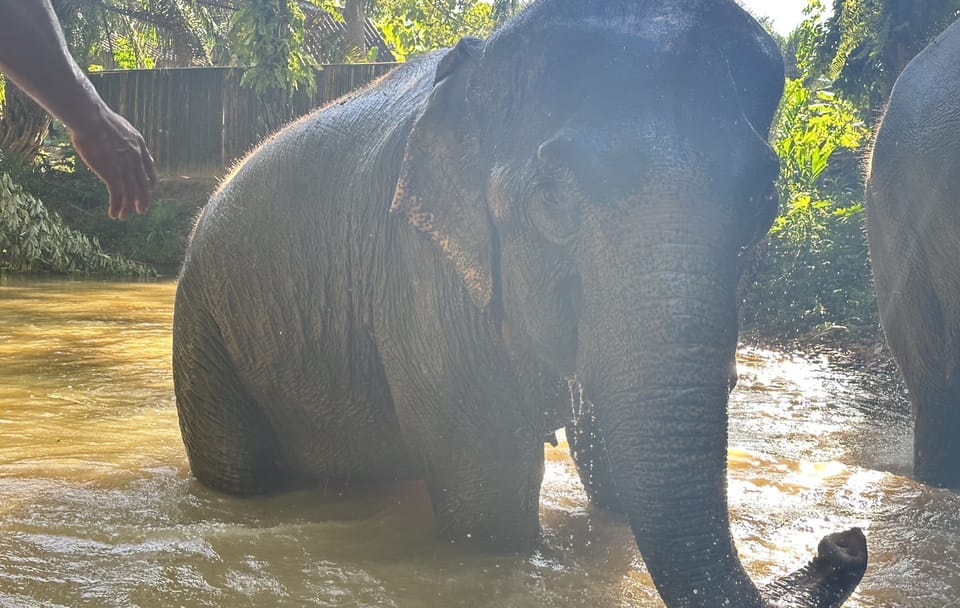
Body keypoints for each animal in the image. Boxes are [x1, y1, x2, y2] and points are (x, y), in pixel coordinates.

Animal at [173, 1, 867, 606]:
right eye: (551, 199)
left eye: (763, 202)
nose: (844, 538)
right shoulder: (424, 274)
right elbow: (492, 503)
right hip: (203, 326)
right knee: (239, 473)